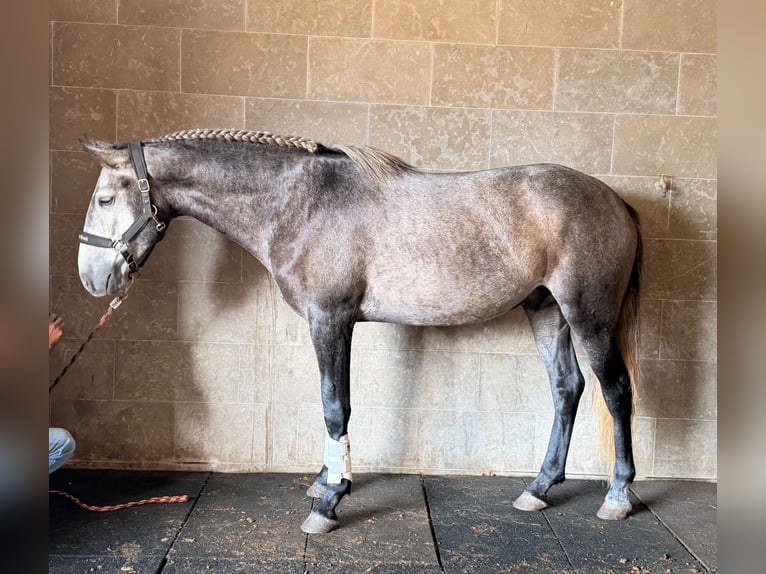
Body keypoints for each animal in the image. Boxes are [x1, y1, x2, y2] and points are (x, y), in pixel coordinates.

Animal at [76, 128, 642, 534]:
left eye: (104, 200)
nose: (92, 278)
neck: (300, 203)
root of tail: (616, 201)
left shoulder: (330, 318)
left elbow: (335, 405)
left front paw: (329, 503)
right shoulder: (333, 322)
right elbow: (334, 406)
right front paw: (328, 480)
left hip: (588, 315)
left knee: (616, 391)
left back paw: (617, 496)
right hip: (546, 311)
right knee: (567, 389)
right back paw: (539, 488)